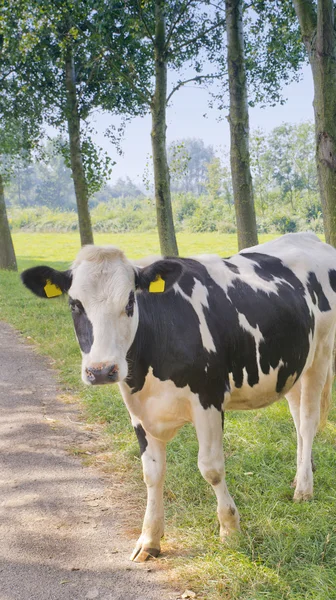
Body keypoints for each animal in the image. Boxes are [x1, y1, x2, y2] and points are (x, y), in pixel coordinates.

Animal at [21, 233, 336, 564]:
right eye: (74, 305)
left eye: (130, 302)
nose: (102, 370)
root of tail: (307, 237)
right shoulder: (139, 411)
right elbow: (152, 473)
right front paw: (149, 539)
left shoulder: (208, 399)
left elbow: (211, 468)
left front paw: (230, 531)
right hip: (292, 368)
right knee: (298, 420)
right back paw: (302, 474)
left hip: (320, 354)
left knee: (308, 421)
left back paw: (304, 489)